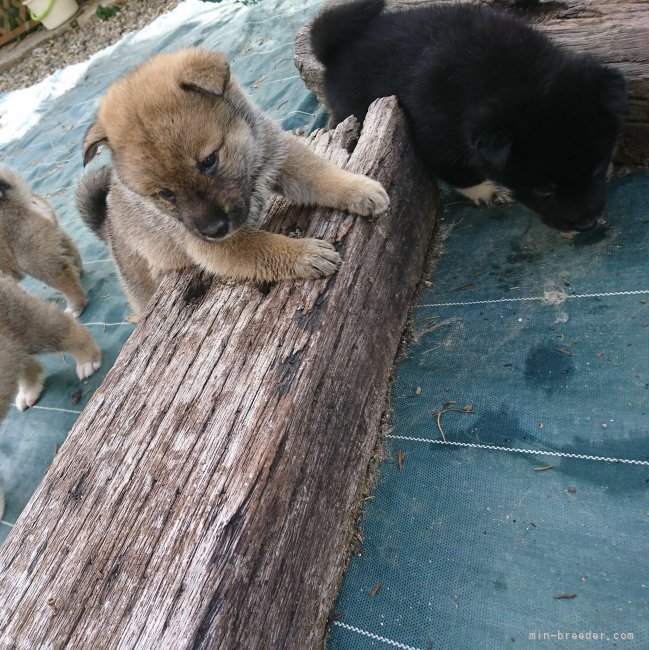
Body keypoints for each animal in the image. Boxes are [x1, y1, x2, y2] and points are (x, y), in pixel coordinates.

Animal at [0, 165, 87, 316]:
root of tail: (17, 200)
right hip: (54, 237)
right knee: (70, 255)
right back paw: (77, 271)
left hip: (32, 259)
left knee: (64, 280)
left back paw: (74, 307)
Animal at [76, 48, 390, 316]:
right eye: (165, 193)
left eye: (209, 161)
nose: (213, 229)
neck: (250, 173)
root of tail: (108, 227)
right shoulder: (215, 247)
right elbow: (263, 246)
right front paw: (304, 254)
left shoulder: (281, 155)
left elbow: (319, 172)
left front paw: (360, 189)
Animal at [312, 0, 624, 232]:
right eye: (544, 190)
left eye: (596, 170)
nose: (586, 224)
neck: (512, 75)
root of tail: (336, 52)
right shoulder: (433, 129)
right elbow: (453, 167)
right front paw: (486, 190)